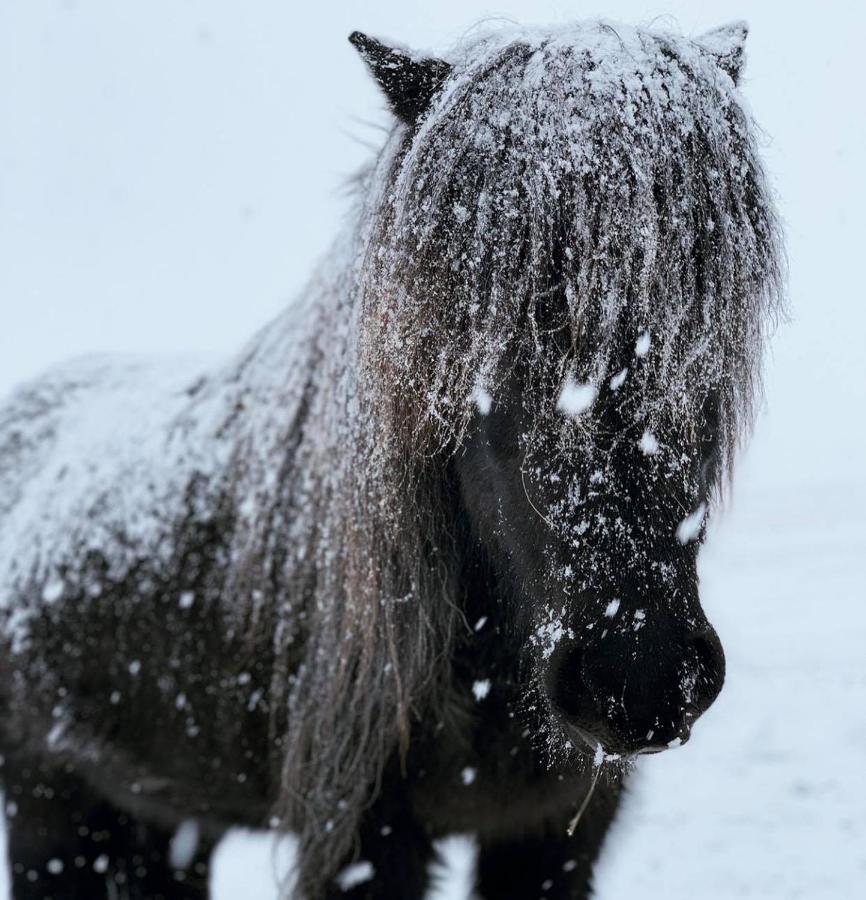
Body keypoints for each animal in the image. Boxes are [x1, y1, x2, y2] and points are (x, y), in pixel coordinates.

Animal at [0, 21, 784, 900]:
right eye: (473, 328)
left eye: (704, 320)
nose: (638, 676)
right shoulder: (361, 838)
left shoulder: (553, 838)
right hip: (50, 812)